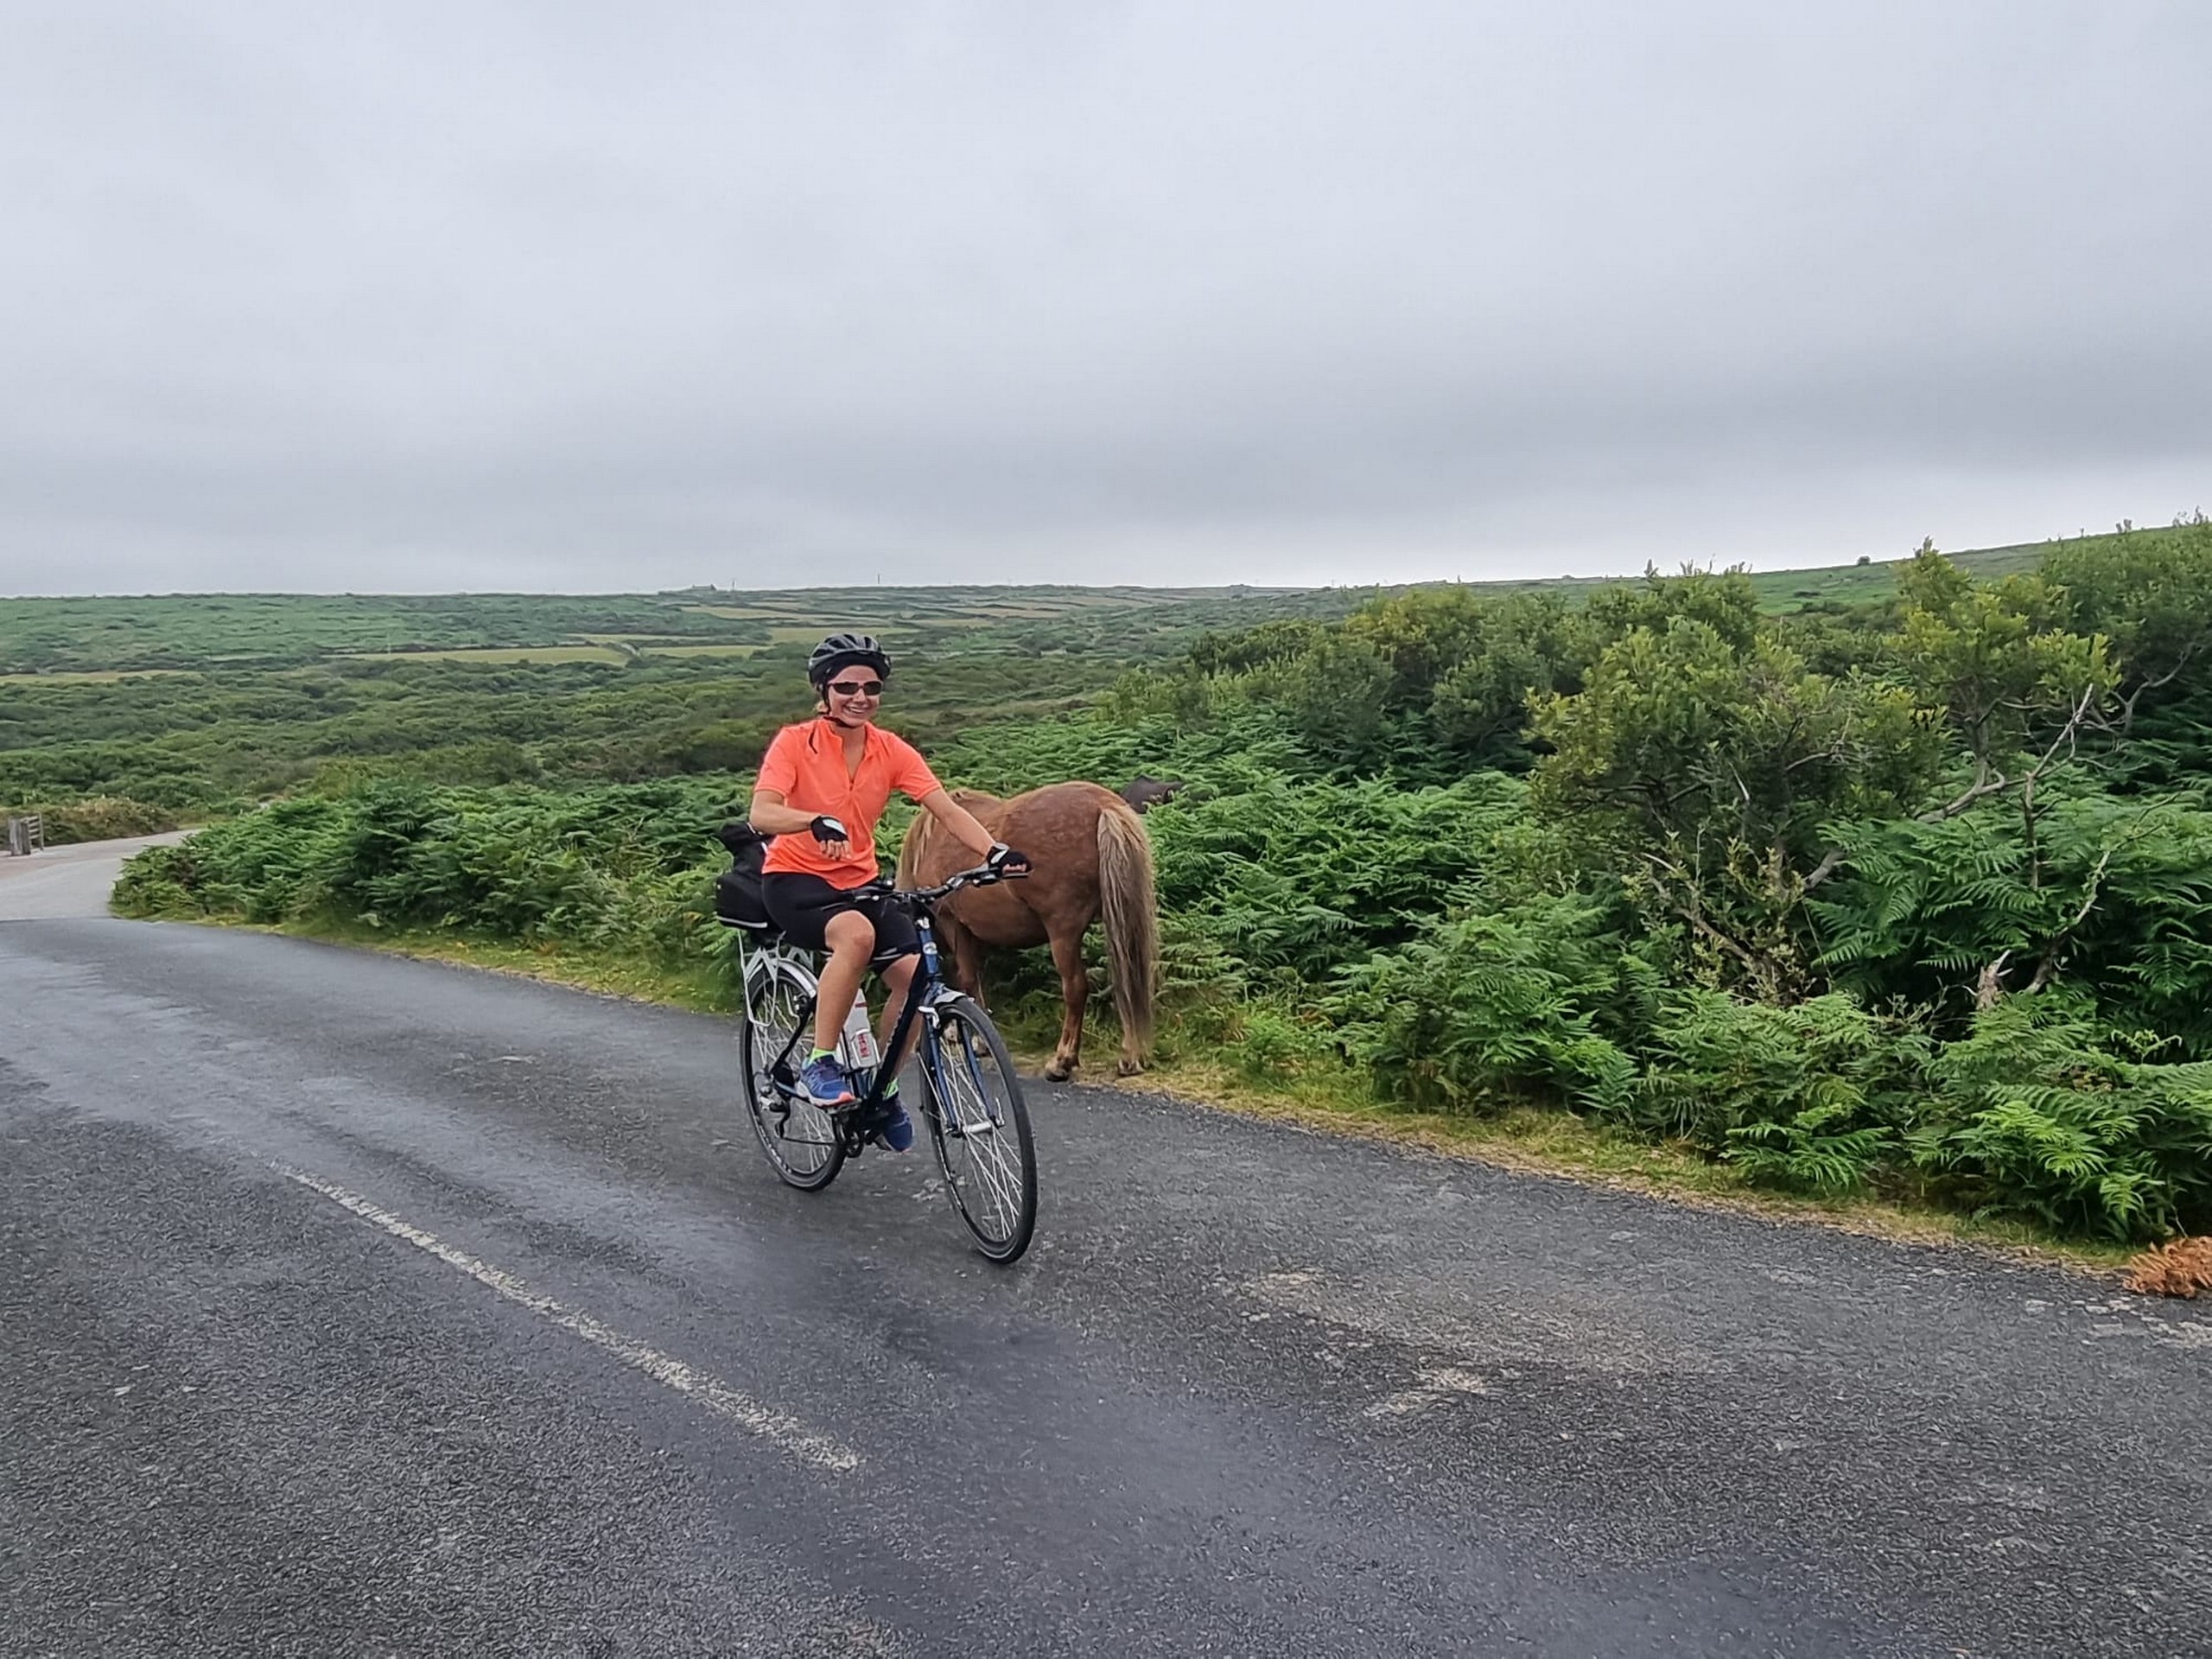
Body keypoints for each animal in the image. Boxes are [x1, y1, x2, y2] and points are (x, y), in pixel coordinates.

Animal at [898, 787, 1167, 1084]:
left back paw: (1062, 1061)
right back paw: (1130, 1057)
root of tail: (1103, 805)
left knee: (1076, 988)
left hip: (1063, 932)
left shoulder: (954, 925)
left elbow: (968, 980)